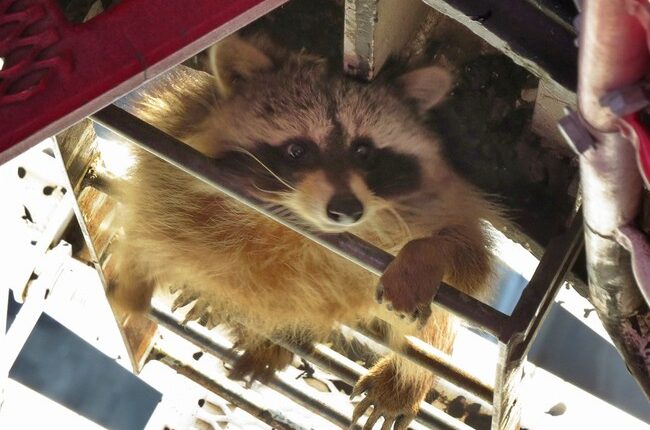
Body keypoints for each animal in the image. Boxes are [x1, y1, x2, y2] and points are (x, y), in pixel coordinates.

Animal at [110, 34, 500, 429]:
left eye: (363, 150)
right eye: (297, 150)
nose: (347, 210)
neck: (303, 226)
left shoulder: (445, 200)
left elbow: (469, 260)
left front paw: (425, 254)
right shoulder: (177, 132)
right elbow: (153, 212)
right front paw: (137, 282)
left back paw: (402, 378)